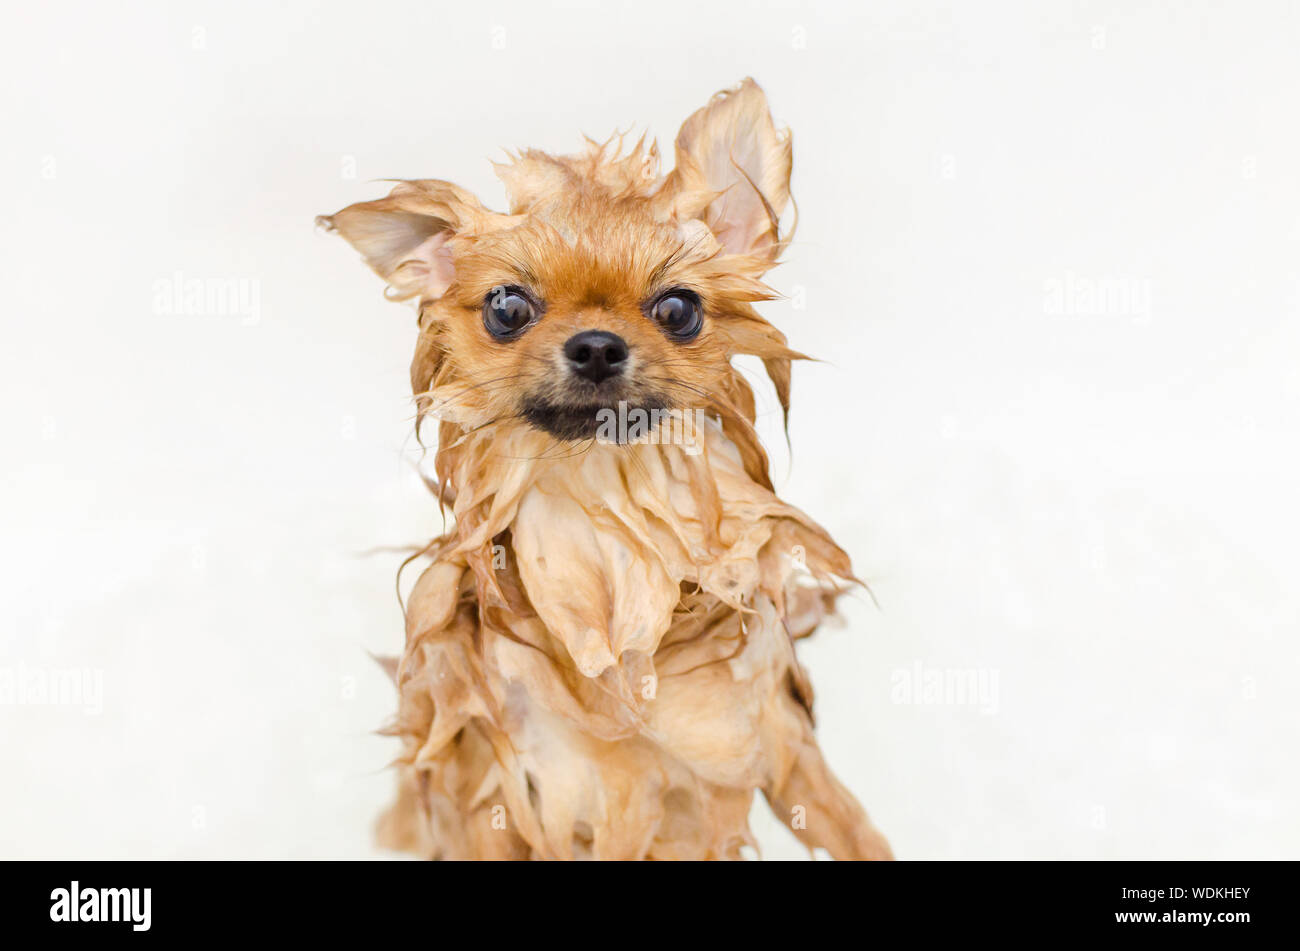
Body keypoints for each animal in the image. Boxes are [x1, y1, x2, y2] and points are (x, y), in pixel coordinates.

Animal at [317, 77, 894, 857]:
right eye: (507, 307)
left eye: (678, 309)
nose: (595, 344)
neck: (604, 534)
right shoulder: (495, 783)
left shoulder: (774, 740)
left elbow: (856, 830)